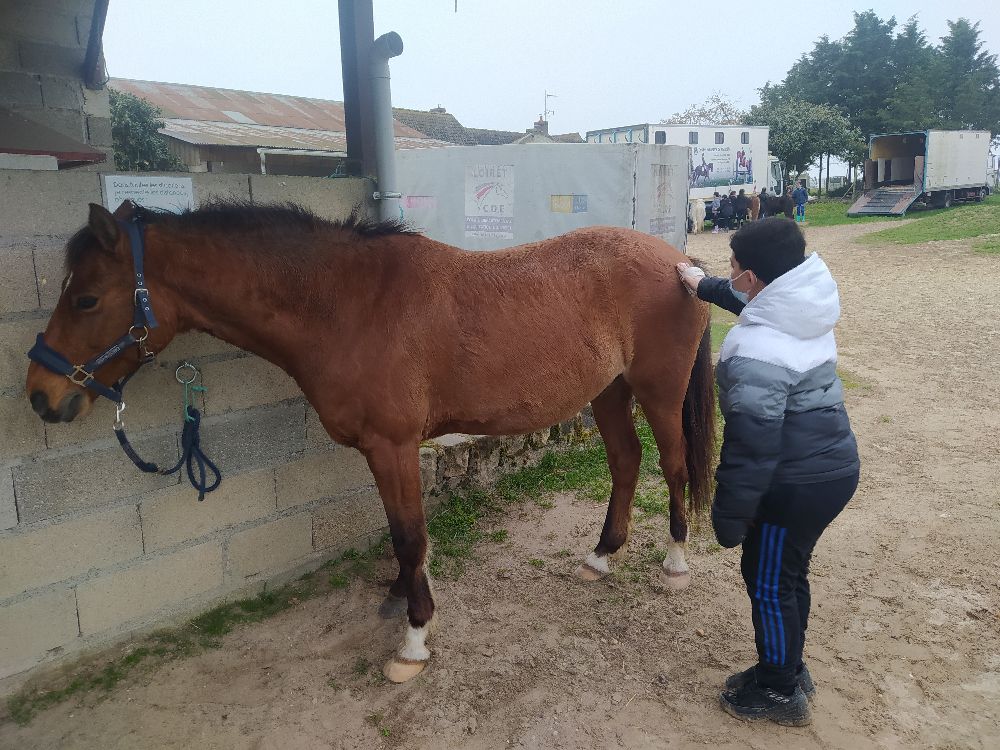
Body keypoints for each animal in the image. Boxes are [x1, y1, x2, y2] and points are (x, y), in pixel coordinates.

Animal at [27, 201, 716, 688]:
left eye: (86, 298)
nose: (39, 395)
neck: (348, 304)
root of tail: (680, 263)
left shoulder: (394, 445)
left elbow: (410, 535)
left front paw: (413, 641)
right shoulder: (380, 452)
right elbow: (397, 531)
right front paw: (400, 596)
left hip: (657, 392)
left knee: (674, 465)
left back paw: (676, 562)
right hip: (608, 393)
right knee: (626, 462)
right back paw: (601, 556)